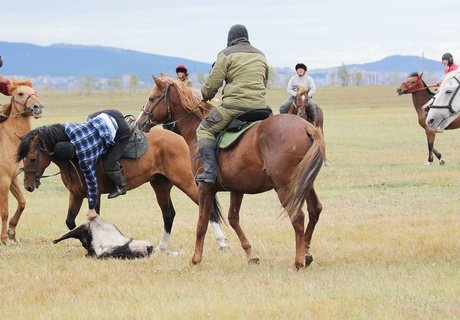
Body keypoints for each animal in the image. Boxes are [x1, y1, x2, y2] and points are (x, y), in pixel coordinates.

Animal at [0, 79, 44, 242]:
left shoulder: (13, 179)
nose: (38, 107)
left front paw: (12, 232)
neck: (9, 140)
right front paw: (5, 239)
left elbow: (22, 202)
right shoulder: (4, 180)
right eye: (20, 93)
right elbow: (4, 211)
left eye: (35, 92)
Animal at [16, 122, 228, 250]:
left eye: (32, 157)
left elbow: (93, 218)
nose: (28, 185)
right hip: (160, 185)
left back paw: (222, 243)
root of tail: (181, 139)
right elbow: (70, 221)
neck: (73, 155)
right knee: (169, 214)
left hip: (186, 182)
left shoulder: (94, 193)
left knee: (209, 210)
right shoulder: (76, 194)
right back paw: (162, 247)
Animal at [135, 77, 326, 270]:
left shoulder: (205, 188)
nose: (139, 122)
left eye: (152, 98)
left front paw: (196, 259)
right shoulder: (237, 188)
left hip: (285, 187)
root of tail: (306, 127)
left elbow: (202, 223)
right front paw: (250, 254)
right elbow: (233, 218)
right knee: (314, 210)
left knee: (298, 217)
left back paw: (298, 262)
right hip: (304, 183)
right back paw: (306, 252)